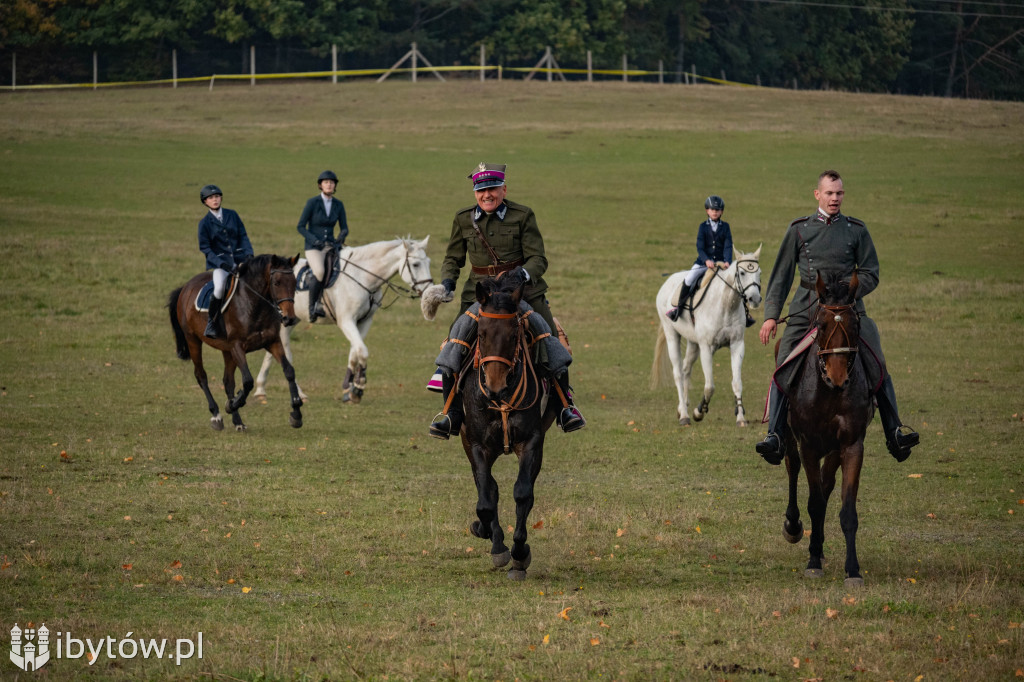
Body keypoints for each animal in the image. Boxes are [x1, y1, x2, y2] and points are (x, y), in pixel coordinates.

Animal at [167, 251, 301, 428]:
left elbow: (289, 371)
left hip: (227, 351)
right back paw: (216, 415)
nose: (289, 318)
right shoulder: (237, 346)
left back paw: (238, 421)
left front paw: (296, 412)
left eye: (294, 283)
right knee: (201, 375)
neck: (254, 306)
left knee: (227, 382)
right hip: (193, 340)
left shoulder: (272, 342)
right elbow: (248, 381)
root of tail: (186, 287)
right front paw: (232, 405)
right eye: (277, 283)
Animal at [256, 235, 436, 401]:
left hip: (289, 321)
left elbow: (355, 352)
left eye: (428, 262)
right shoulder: (346, 321)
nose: (429, 291)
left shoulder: (364, 321)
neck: (363, 277)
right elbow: (362, 351)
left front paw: (349, 387)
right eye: (415, 264)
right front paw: (358, 387)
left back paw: (262, 390)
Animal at [462, 272, 561, 577]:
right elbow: (485, 499)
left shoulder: (531, 443)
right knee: (488, 489)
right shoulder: (477, 445)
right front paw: (496, 545)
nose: (495, 386)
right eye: (480, 333)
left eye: (514, 334)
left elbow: (522, 493)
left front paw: (519, 553)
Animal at [651, 244, 765, 425]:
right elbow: (710, 386)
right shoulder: (706, 347)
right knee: (678, 373)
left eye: (759, 273)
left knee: (686, 369)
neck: (726, 305)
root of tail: (668, 282)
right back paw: (684, 415)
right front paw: (699, 412)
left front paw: (740, 417)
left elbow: (737, 382)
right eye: (742, 273)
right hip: (672, 335)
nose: (754, 299)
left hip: (693, 342)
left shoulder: (737, 344)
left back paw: (682, 407)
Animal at [782, 268, 872, 585]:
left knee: (825, 484)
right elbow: (815, 503)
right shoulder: (807, 445)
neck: (828, 393)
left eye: (855, 323)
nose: (837, 377)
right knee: (793, 469)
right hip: (790, 440)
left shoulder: (850, 446)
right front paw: (812, 561)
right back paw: (794, 527)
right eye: (820, 325)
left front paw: (853, 569)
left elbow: (846, 509)